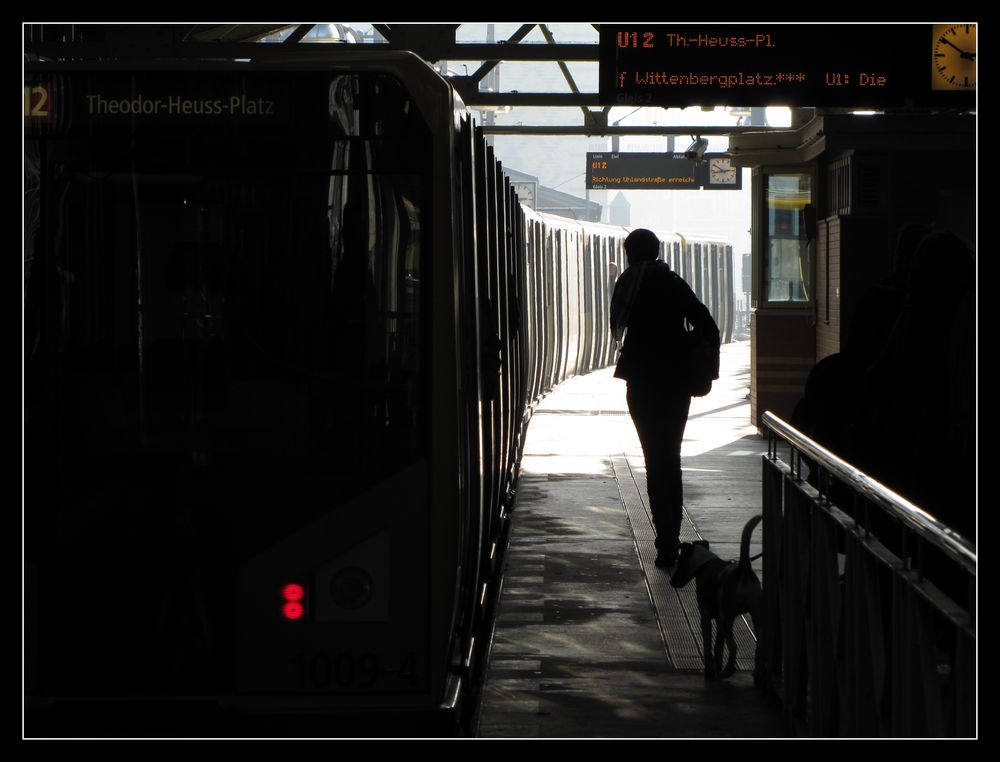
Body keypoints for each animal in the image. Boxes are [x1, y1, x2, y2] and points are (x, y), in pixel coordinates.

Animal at [672, 512, 764, 680]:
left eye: (679, 562)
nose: (671, 581)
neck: (705, 565)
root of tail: (743, 570)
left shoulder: (706, 616)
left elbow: (708, 645)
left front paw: (710, 669)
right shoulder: (719, 619)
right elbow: (718, 646)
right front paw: (717, 665)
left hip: (727, 619)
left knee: (734, 646)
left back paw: (728, 670)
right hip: (756, 615)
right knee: (760, 644)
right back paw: (757, 673)